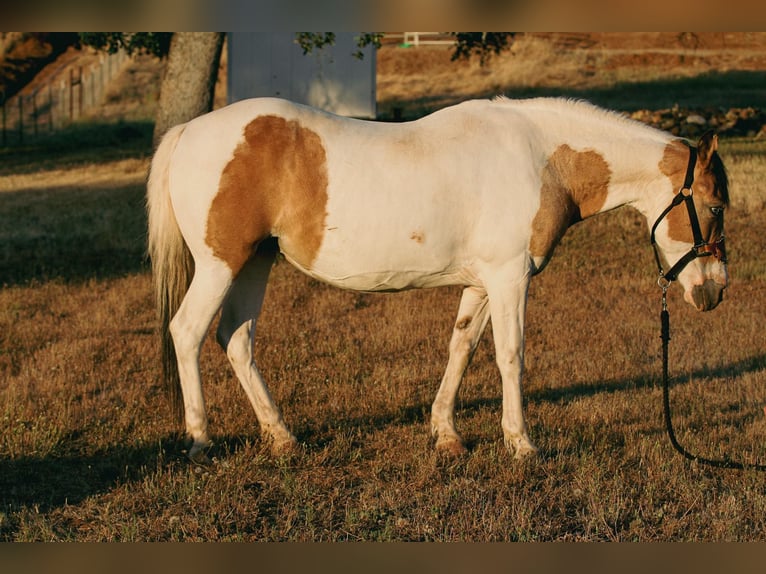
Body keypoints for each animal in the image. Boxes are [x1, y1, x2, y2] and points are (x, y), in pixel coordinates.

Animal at [147, 96, 729, 464]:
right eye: (717, 205)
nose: (715, 289)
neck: (543, 159)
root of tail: (190, 131)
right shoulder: (510, 278)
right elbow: (510, 357)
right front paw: (522, 444)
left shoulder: (483, 283)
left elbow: (462, 349)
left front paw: (446, 434)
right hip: (221, 264)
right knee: (187, 332)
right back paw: (200, 440)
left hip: (255, 262)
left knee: (236, 340)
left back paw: (282, 438)